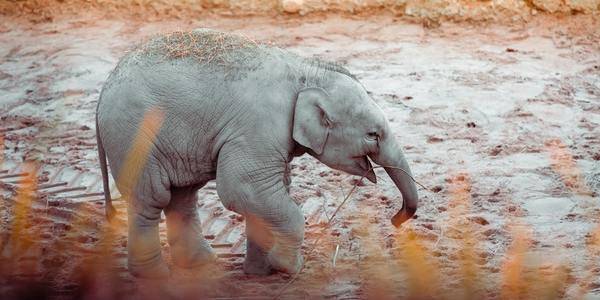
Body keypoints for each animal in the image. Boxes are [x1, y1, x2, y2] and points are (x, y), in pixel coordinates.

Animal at [96, 28, 420, 278]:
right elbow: (242, 188)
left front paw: (259, 273)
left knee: (182, 197)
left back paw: (200, 264)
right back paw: (154, 276)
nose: (395, 220)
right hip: (134, 136)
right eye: (373, 135)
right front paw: (288, 268)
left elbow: (263, 193)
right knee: (150, 199)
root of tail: (105, 87)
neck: (306, 71)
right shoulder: (257, 128)